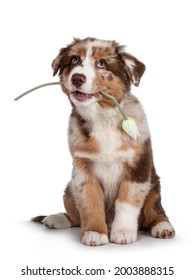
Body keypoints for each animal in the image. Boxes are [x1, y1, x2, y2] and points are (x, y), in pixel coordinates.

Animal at [32, 36, 174, 245]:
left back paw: (162, 227)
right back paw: (56, 219)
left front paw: (122, 232)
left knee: (154, 211)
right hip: (69, 188)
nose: (77, 78)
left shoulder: (137, 168)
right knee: (74, 216)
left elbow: (126, 201)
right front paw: (94, 232)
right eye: (74, 60)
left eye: (101, 63)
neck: (102, 118)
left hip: (154, 187)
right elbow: (90, 201)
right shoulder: (83, 171)